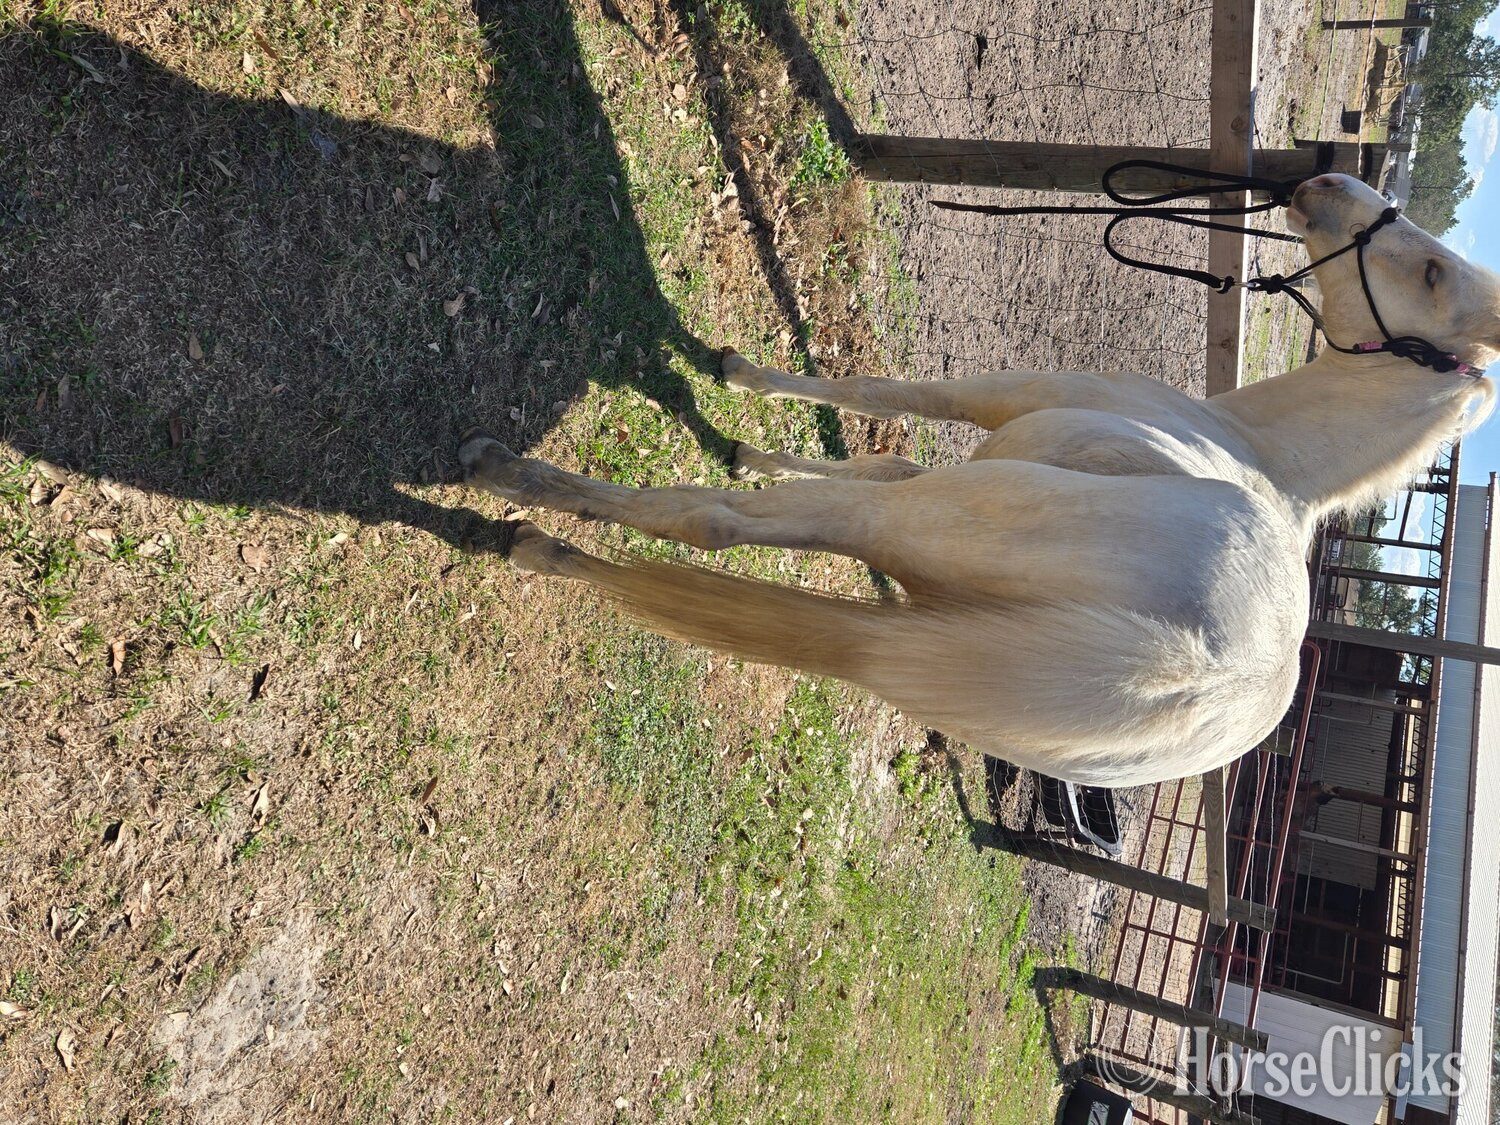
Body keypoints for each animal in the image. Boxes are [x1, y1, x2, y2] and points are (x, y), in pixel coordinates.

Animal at [455, 174, 1498, 787]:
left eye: (1431, 270)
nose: (1322, 179)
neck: (1251, 443)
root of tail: (1197, 675)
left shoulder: (1000, 402)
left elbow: (878, 395)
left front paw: (736, 374)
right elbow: (874, 446)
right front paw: (752, 444)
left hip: (924, 523)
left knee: (708, 523)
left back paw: (515, 495)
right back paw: (537, 540)